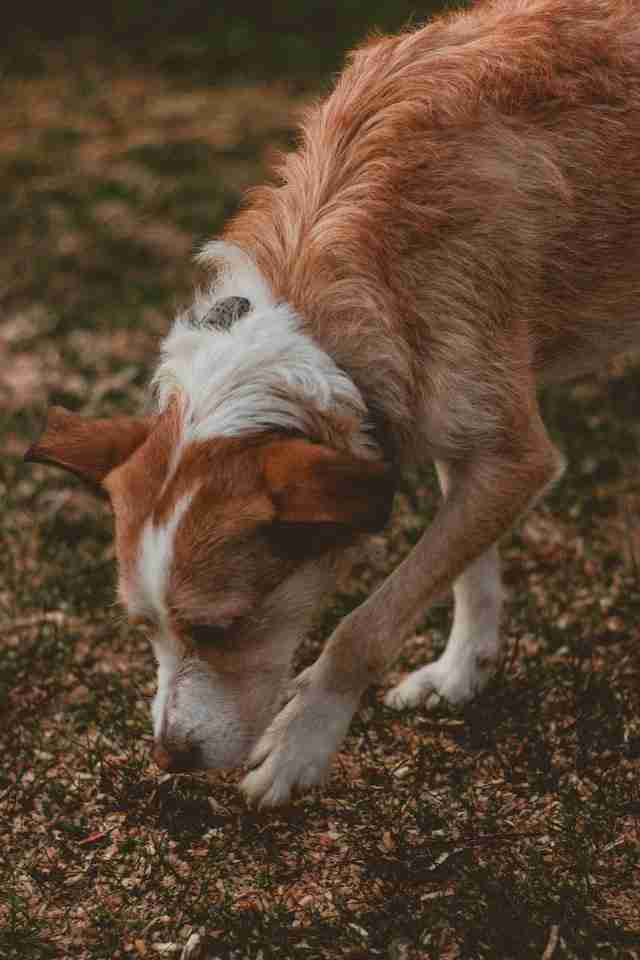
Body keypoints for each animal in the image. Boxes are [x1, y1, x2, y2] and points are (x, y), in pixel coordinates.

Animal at [25, 0, 640, 808]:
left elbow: (364, 624)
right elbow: (467, 569)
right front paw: (461, 670)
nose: (168, 757)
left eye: (222, 627)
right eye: (143, 626)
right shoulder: (460, 436)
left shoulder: (516, 459)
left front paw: (301, 743)